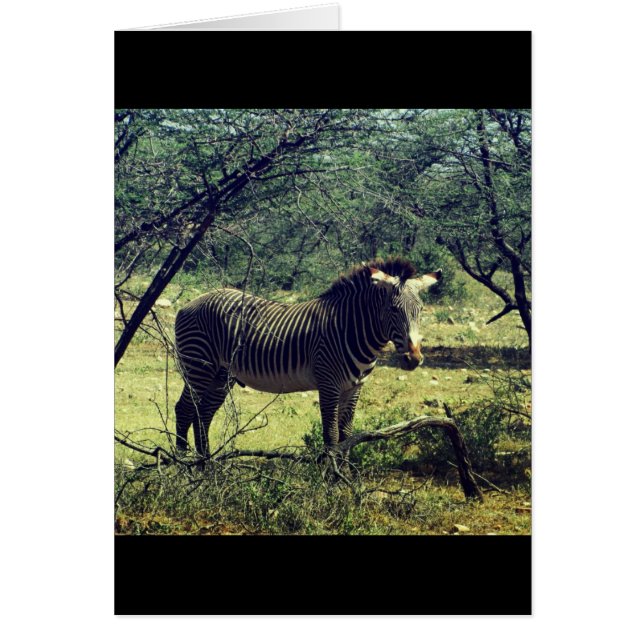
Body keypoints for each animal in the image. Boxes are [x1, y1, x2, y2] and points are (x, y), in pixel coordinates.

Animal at [173, 258, 441, 460]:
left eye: (420, 310)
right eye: (393, 310)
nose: (413, 358)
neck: (349, 328)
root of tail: (191, 303)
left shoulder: (354, 388)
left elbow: (346, 435)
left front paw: (345, 481)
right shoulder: (329, 384)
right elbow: (331, 437)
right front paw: (328, 485)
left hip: (222, 374)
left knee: (203, 414)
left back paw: (207, 467)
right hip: (198, 364)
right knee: (185, 409)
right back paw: (183, 468)